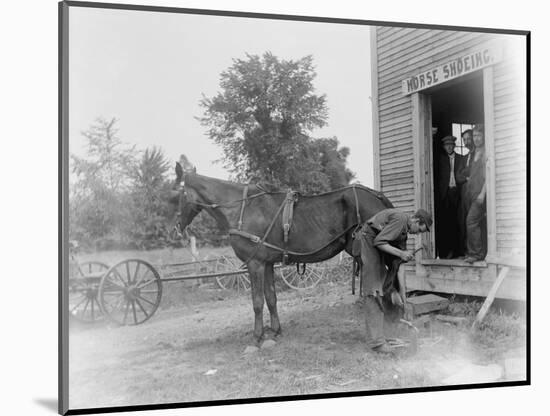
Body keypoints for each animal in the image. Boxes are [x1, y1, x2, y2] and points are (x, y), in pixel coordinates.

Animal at [170, 158, 394, 342]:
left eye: (174, 195)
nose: (176, 229)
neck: (243, 209)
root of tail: (377, 196)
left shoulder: (255, 264)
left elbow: (257, 301)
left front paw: (258, 336)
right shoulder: (267, 263)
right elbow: (271, 298)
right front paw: (276, 330)